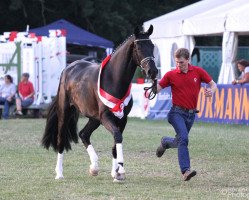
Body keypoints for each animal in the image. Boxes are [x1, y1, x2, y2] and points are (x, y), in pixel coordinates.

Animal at [40, 24, 158, 181]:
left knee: (84, 134)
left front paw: (116, 173)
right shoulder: (106, 117)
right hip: (65, 112)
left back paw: (94, 167)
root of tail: (68, 68)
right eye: (138, 47)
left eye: (152, 46)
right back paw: (59, 173)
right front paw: (120, 170)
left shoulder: (122, 119)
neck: (114, 80)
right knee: (61, 139)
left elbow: (116, 142)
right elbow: (117, 136)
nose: (153, 71)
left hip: (94, 118)